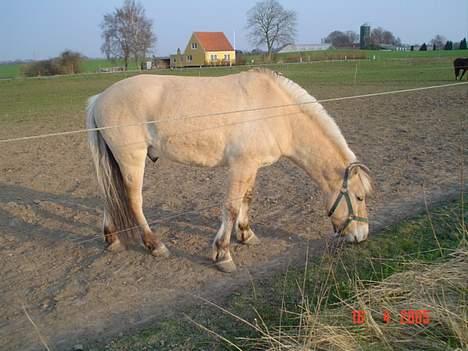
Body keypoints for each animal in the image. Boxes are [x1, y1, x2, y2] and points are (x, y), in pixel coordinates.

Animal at [86, 68, 372, 272]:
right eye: (359, 197)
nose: (362, 236)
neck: (275, 112)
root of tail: (99, 98)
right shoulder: (240, 167)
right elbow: (231, 207)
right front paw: (223, 254)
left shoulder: (252, 167)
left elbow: (247, 199)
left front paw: (246, 235)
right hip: (132, 160)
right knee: (133, 201)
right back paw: (155, 245)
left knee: (110, 197)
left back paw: (112, 239)